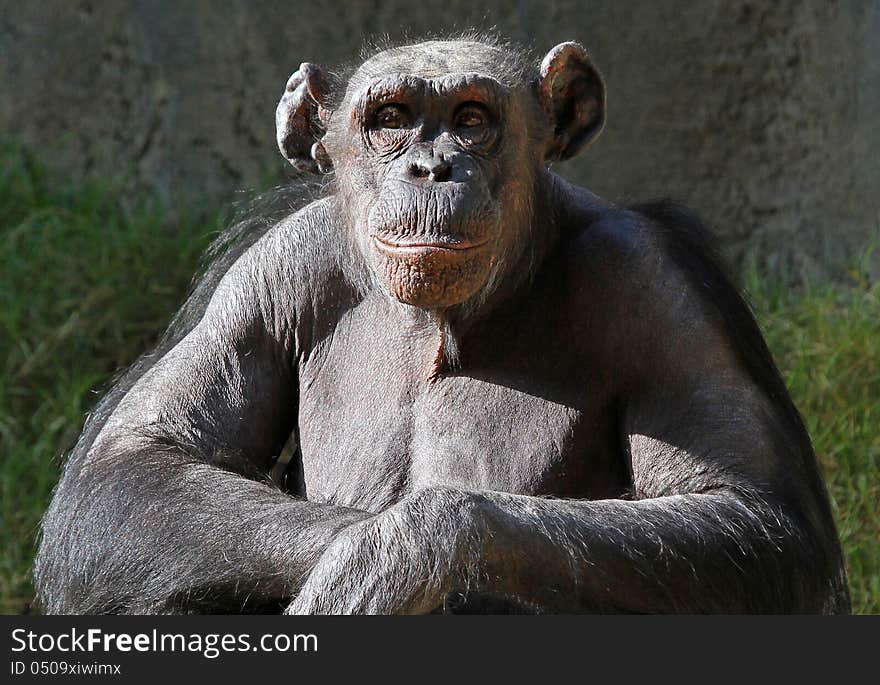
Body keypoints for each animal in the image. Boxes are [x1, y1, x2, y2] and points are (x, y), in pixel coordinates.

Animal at [36, 36, 852, 616]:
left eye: (472, 120)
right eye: (391, 120)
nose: (431, 166)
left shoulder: (659, 290)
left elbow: (748, 510)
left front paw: (397, 556)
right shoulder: (267, 274)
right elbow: (136, 461)